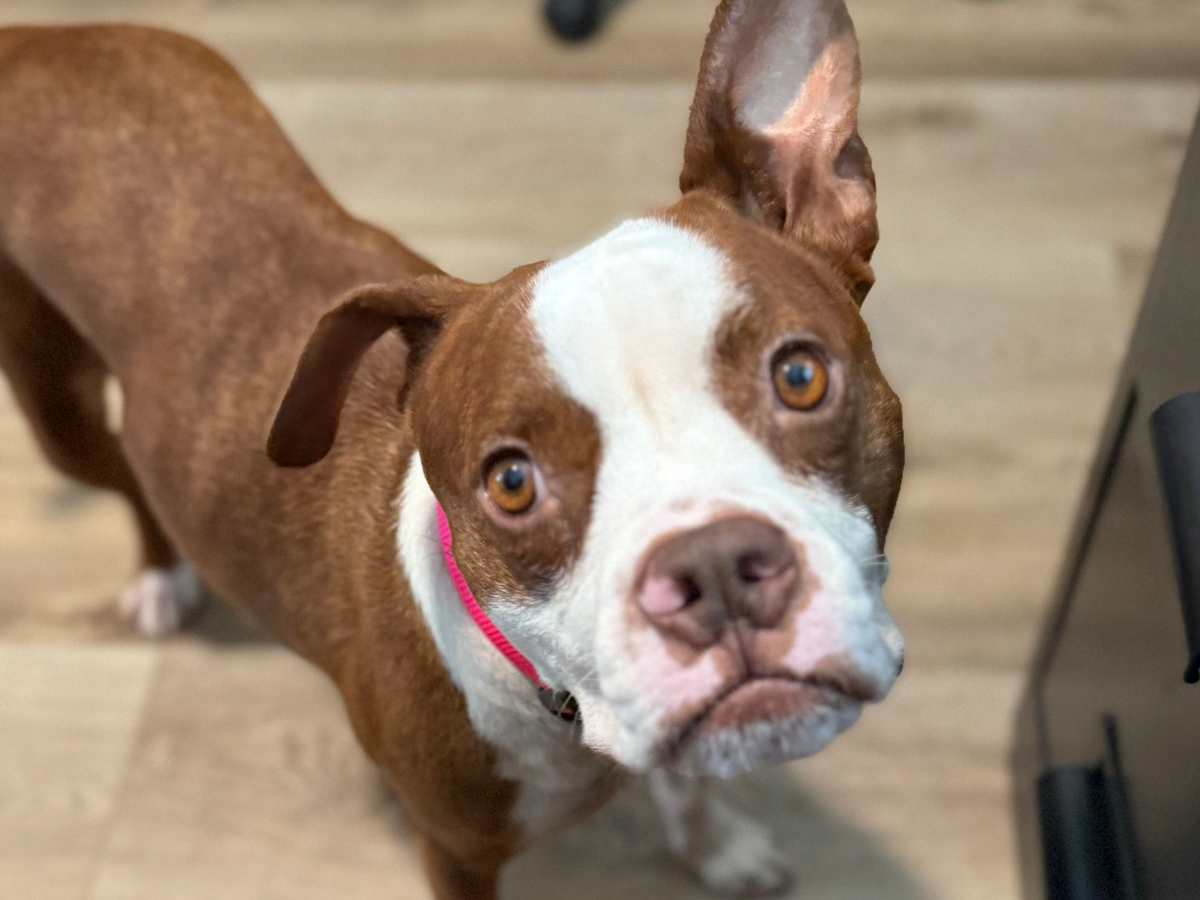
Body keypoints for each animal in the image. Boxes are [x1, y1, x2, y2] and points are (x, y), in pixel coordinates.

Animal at [0, 1, 904, 896]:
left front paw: (719, 847)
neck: (555, 702)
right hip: (59, 410)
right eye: (511, 483)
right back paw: (160, 576)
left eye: (798, 376)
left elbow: (690, 784)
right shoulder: (455, 851)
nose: (715, 568)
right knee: (126, 476)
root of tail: (33, 41)